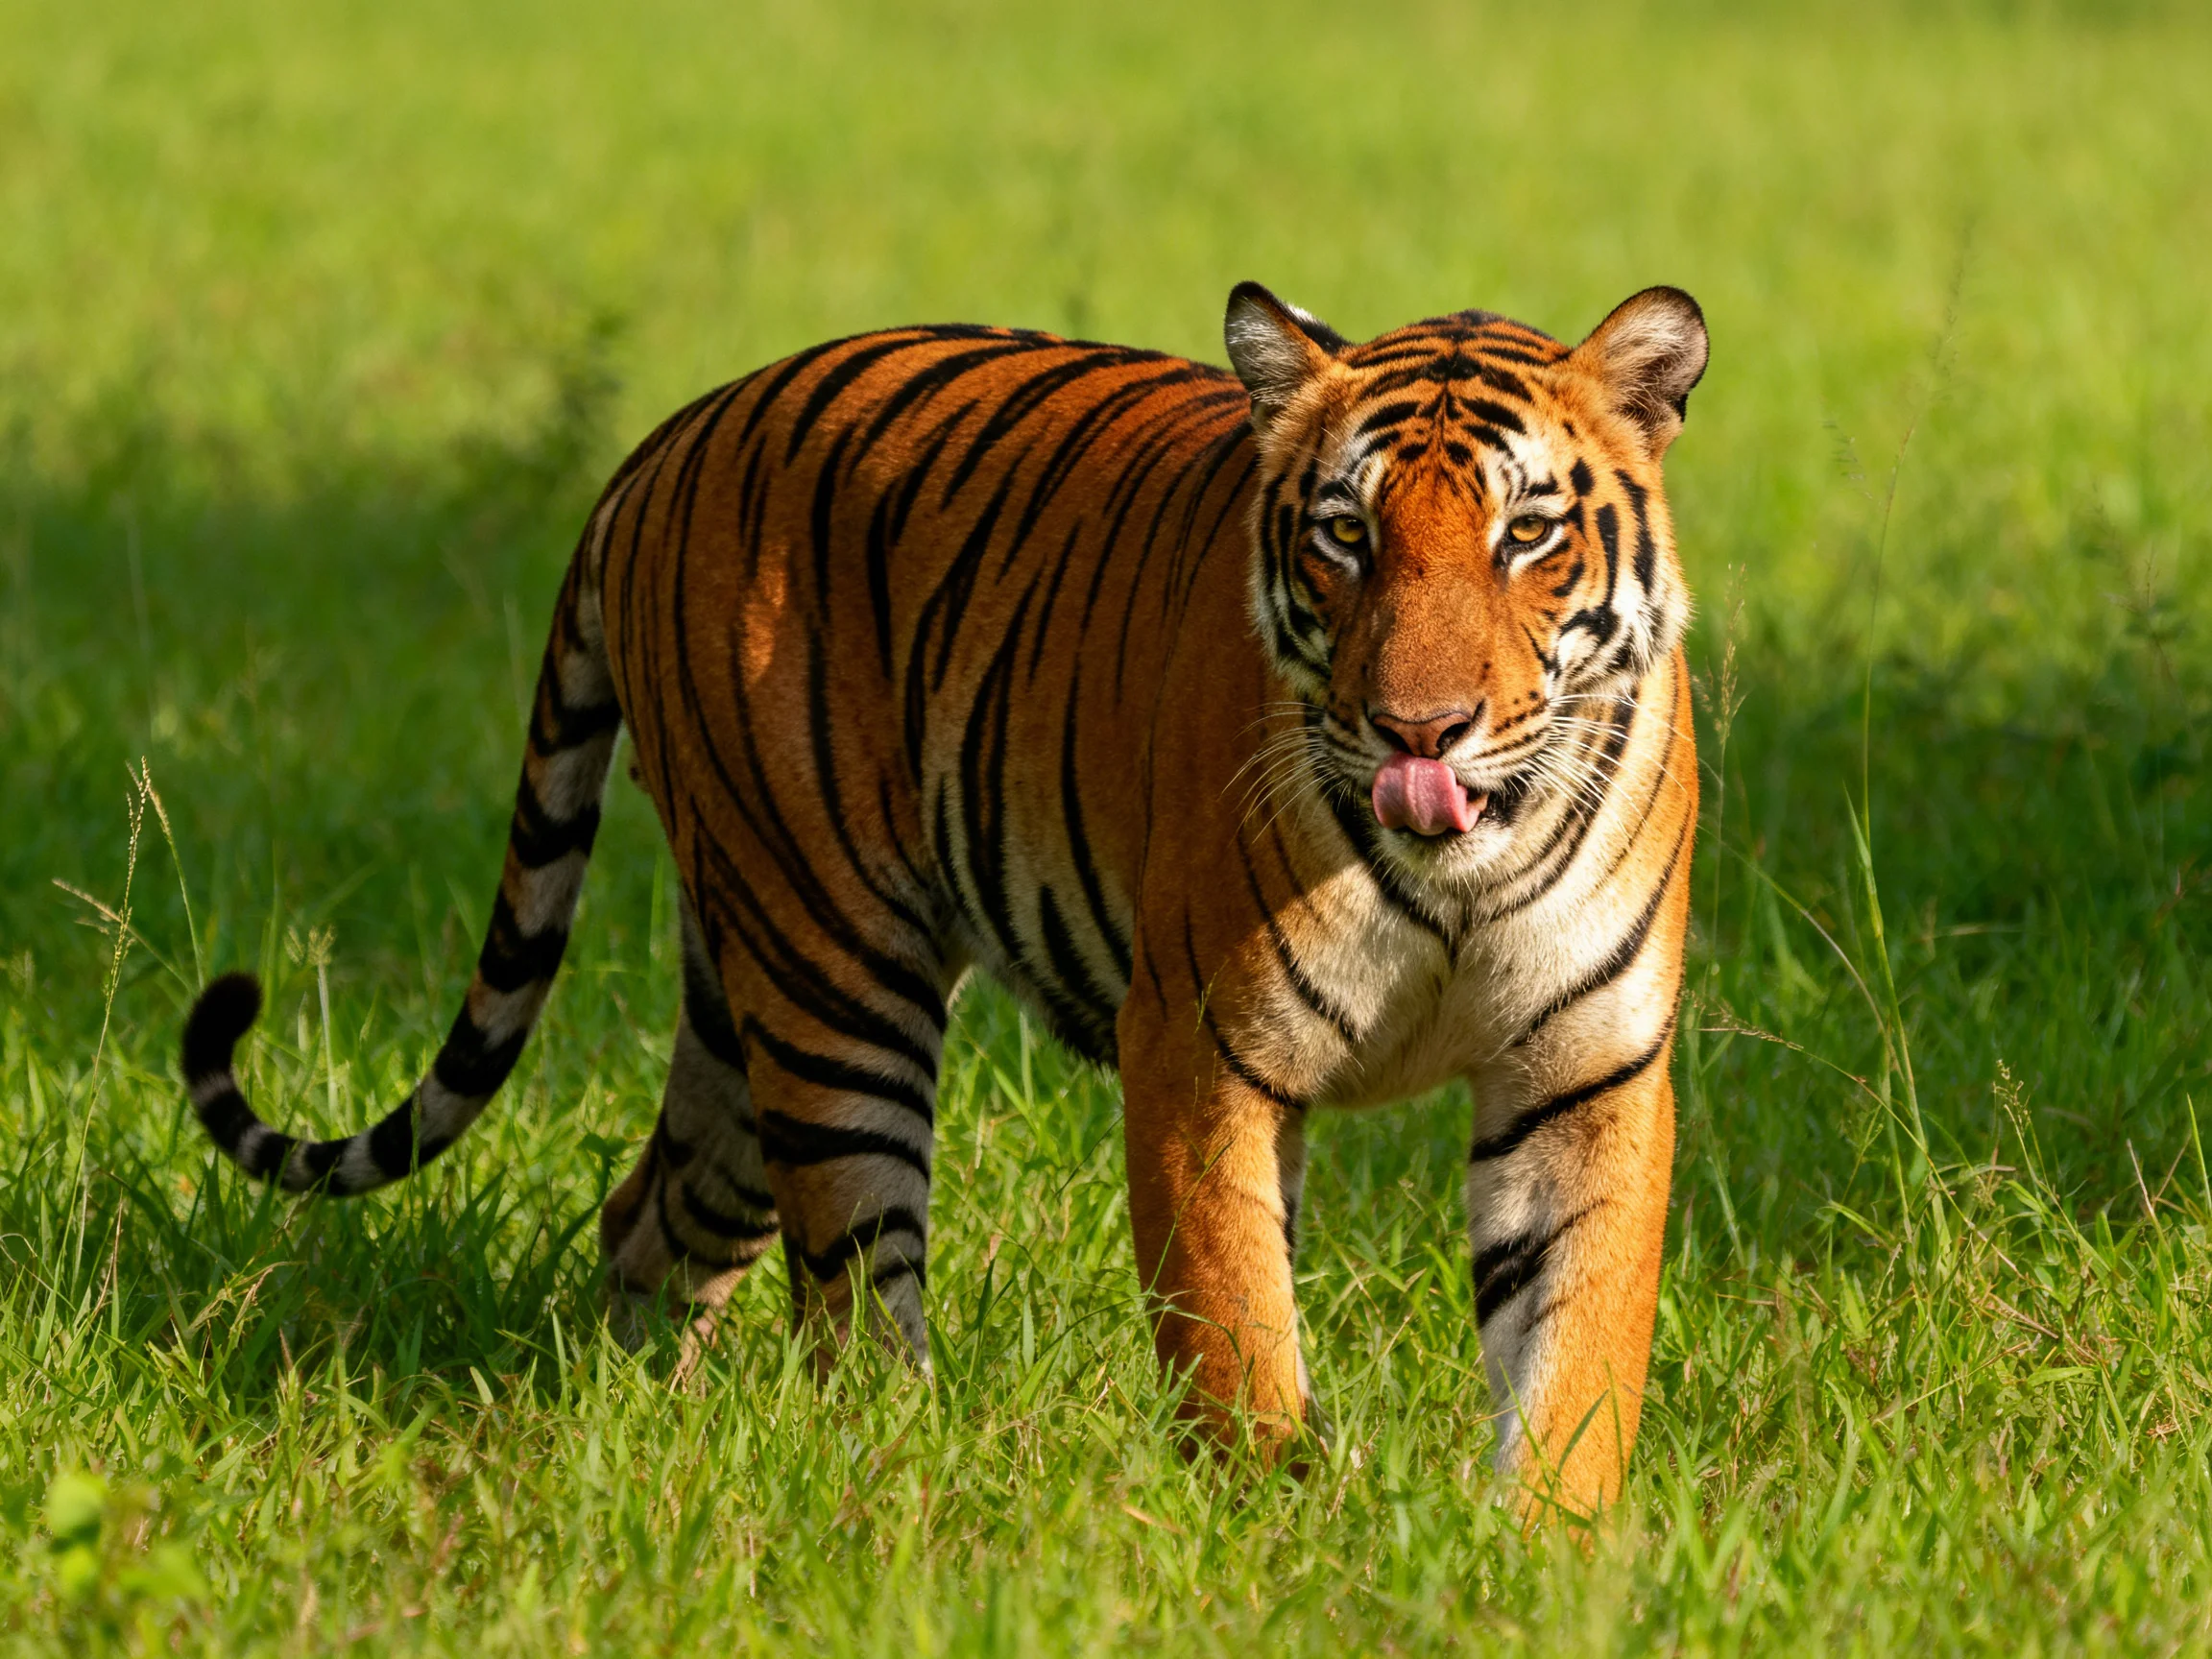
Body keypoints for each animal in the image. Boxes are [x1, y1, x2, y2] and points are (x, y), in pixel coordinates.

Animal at [181, 279, 1706, 1516]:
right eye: (1344, 534)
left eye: (1527, 535)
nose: (1418, 732)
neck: (1466, 870)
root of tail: (668, 437)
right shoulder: (1200, 1050)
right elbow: (1236, 1327)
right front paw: (1274, 1532)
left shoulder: (1585, 1069)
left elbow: (1577, 1342)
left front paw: (1545, 1552)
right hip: (829, 982)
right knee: (853, 1302)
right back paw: (903, 1484)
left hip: (736, 1019)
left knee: (654, 1221)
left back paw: (633, 1437)